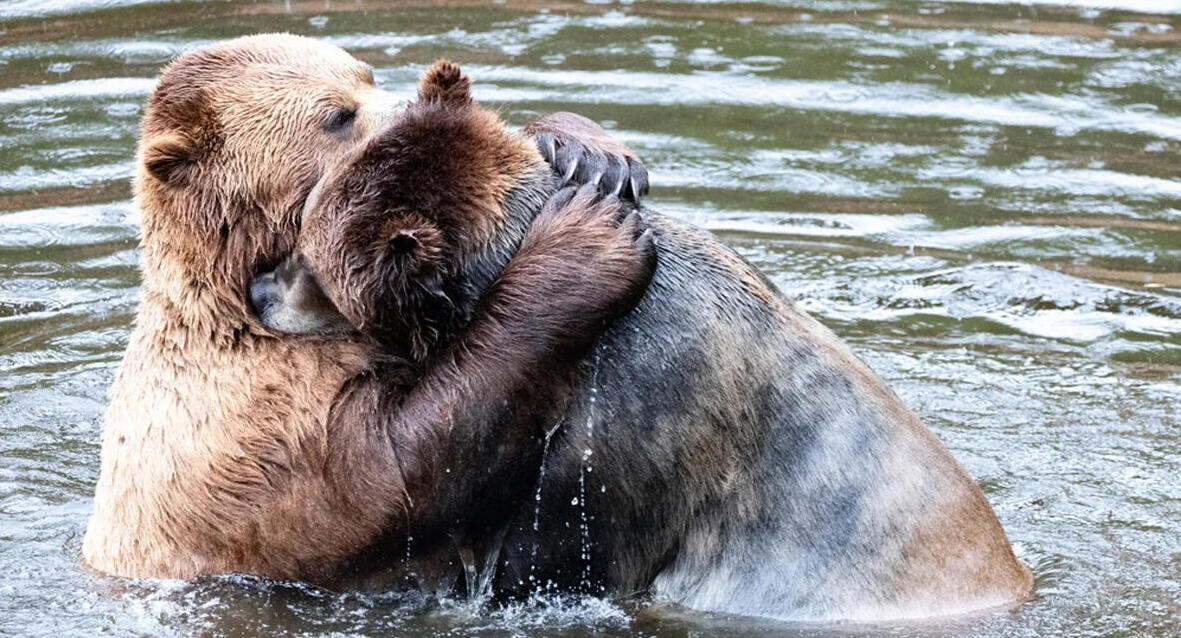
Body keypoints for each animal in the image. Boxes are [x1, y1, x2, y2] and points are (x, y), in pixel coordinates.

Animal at [83, 32, 656, 586]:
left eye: (366, 75)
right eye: (337, 115)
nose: (409, 105)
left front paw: (591, 153)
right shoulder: (261, 426)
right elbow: (402, 475)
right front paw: (585, 244)